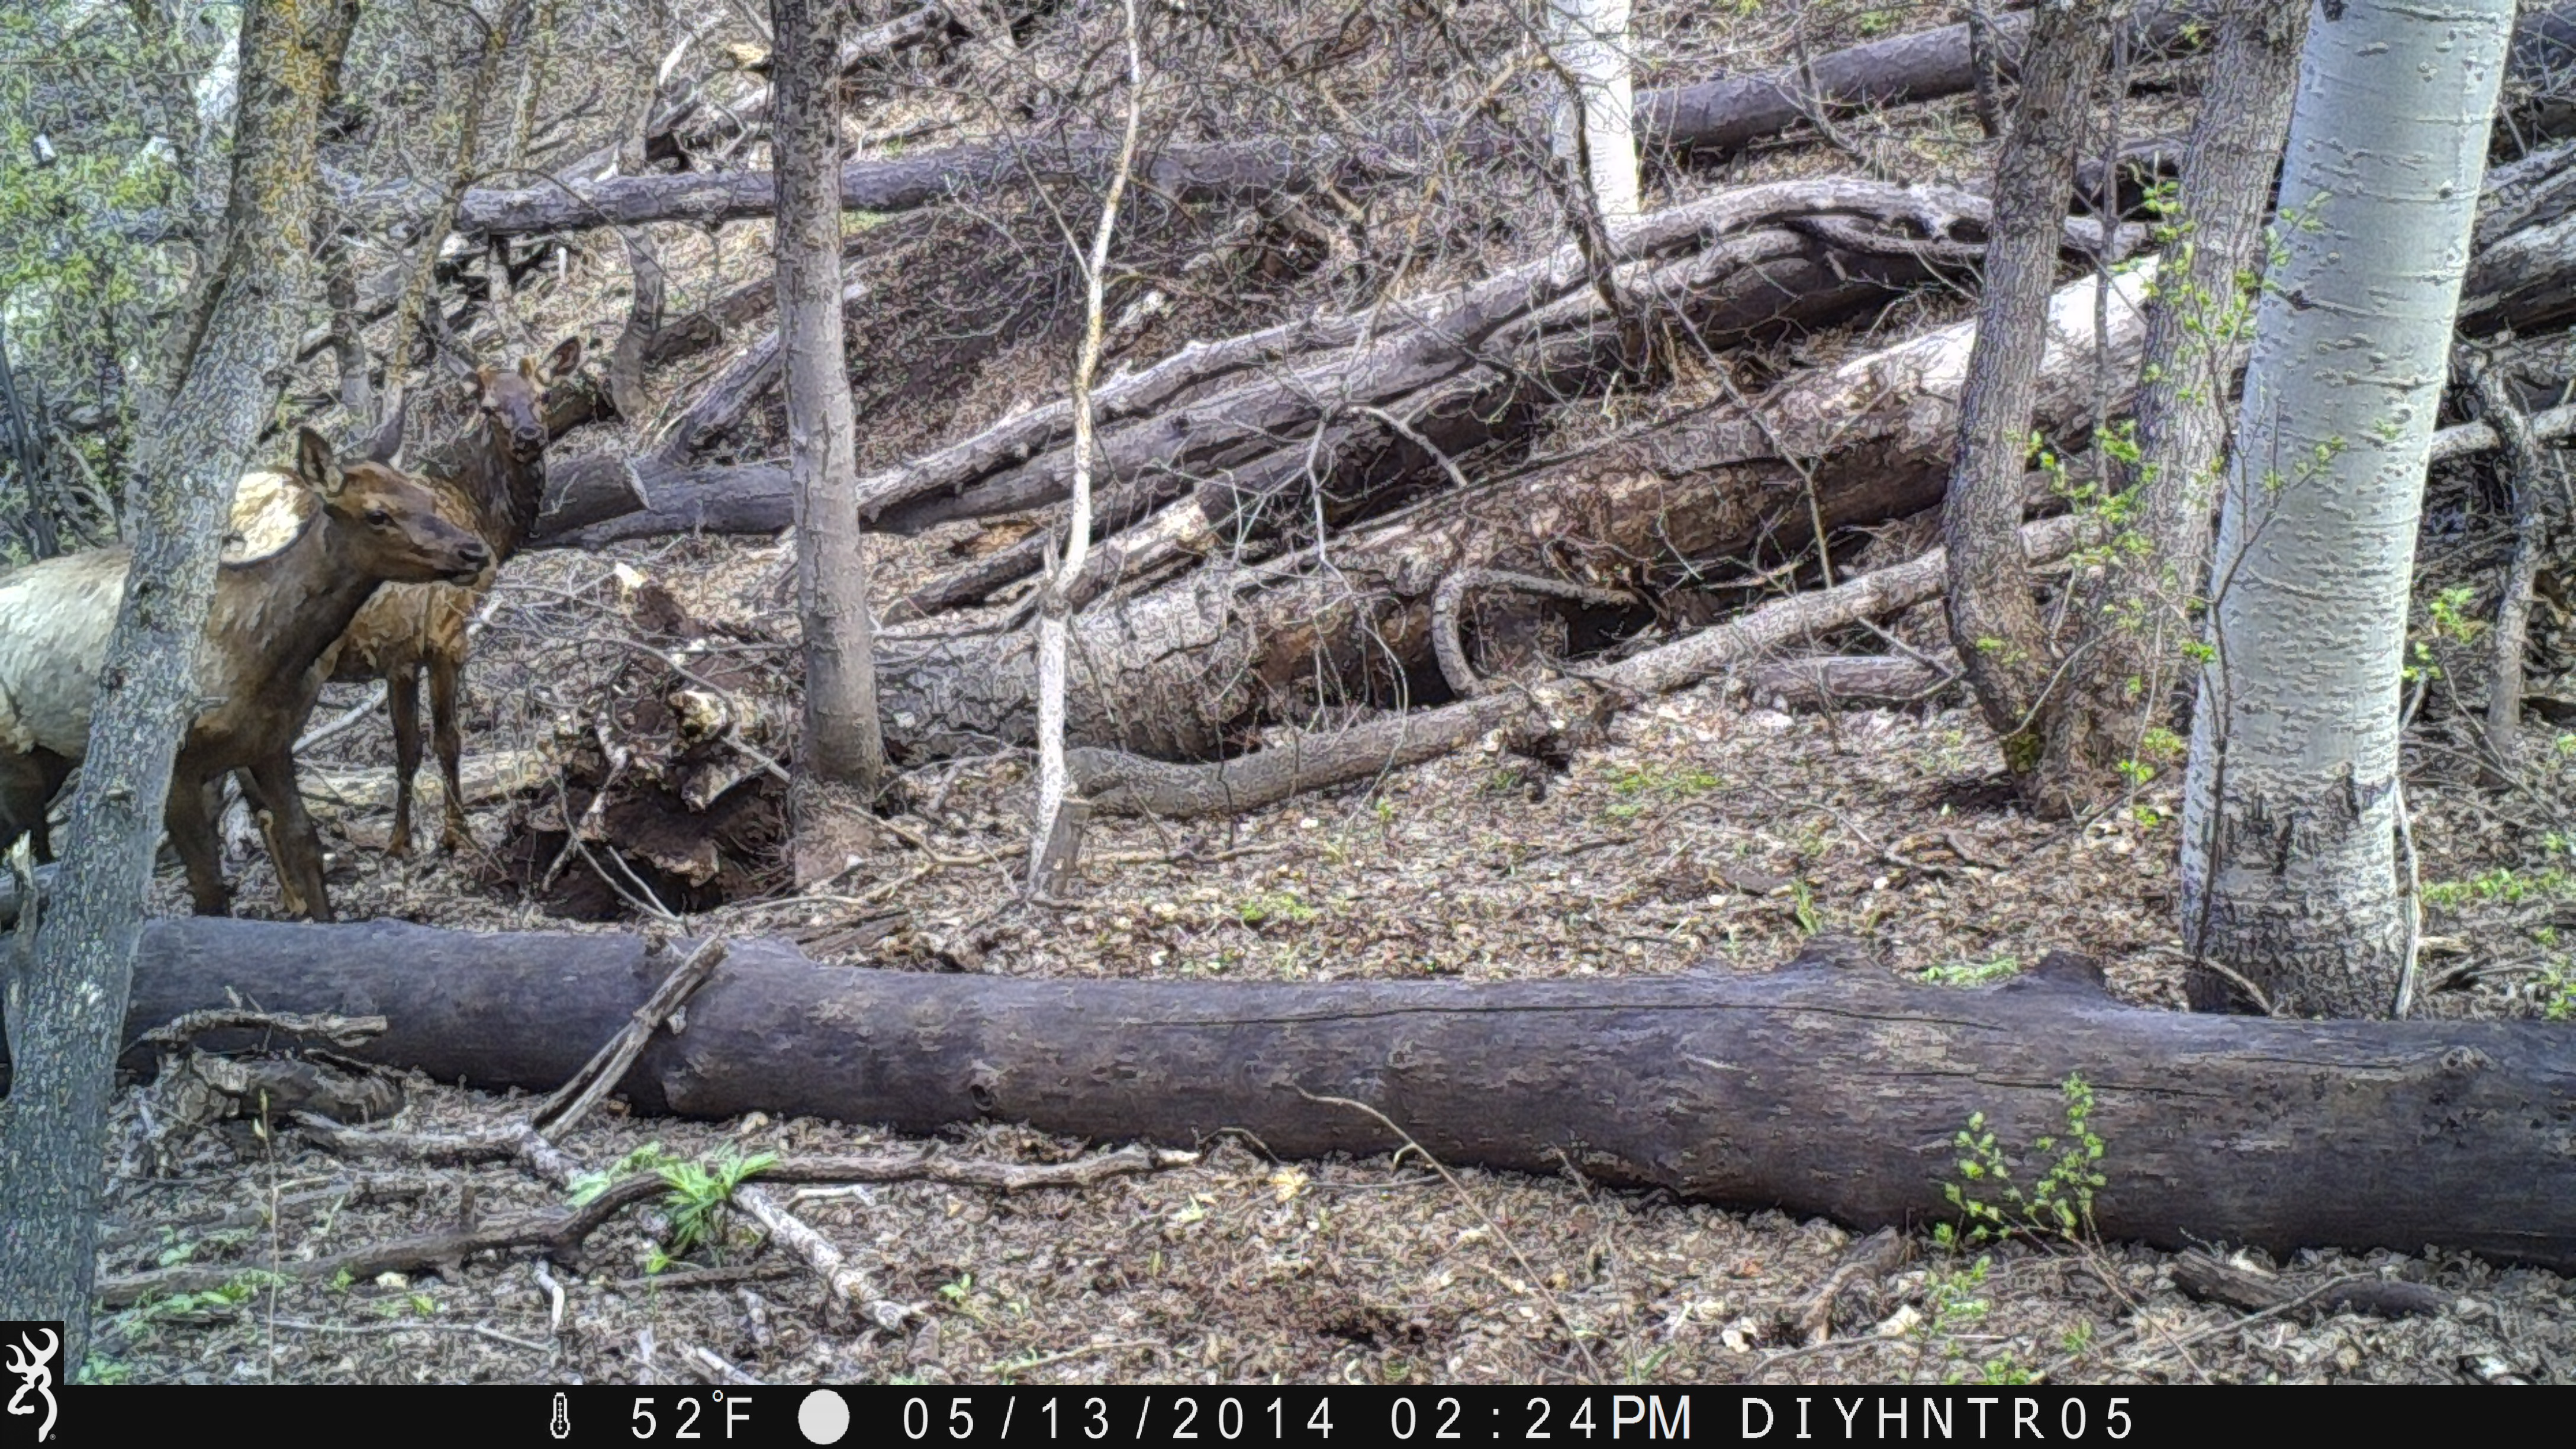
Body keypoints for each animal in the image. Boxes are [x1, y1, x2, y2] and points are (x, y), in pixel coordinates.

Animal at [0, 427, 492, 920]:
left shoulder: (271, 745)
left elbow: (306, 845)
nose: (474, 551)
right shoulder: (179, 768)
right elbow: (210, 891)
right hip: (16, 758)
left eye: (425, 498)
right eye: (377, 514)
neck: (266, 662)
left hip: (48, 759)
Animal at [226, 337, 582, 856]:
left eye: (545, 394)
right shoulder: (445, 631)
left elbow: (407, 747)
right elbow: (447, 739)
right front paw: (458, 836)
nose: (529, 436)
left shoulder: (399, 655)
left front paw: (399, 843)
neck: (487, 521)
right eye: (488, 407)